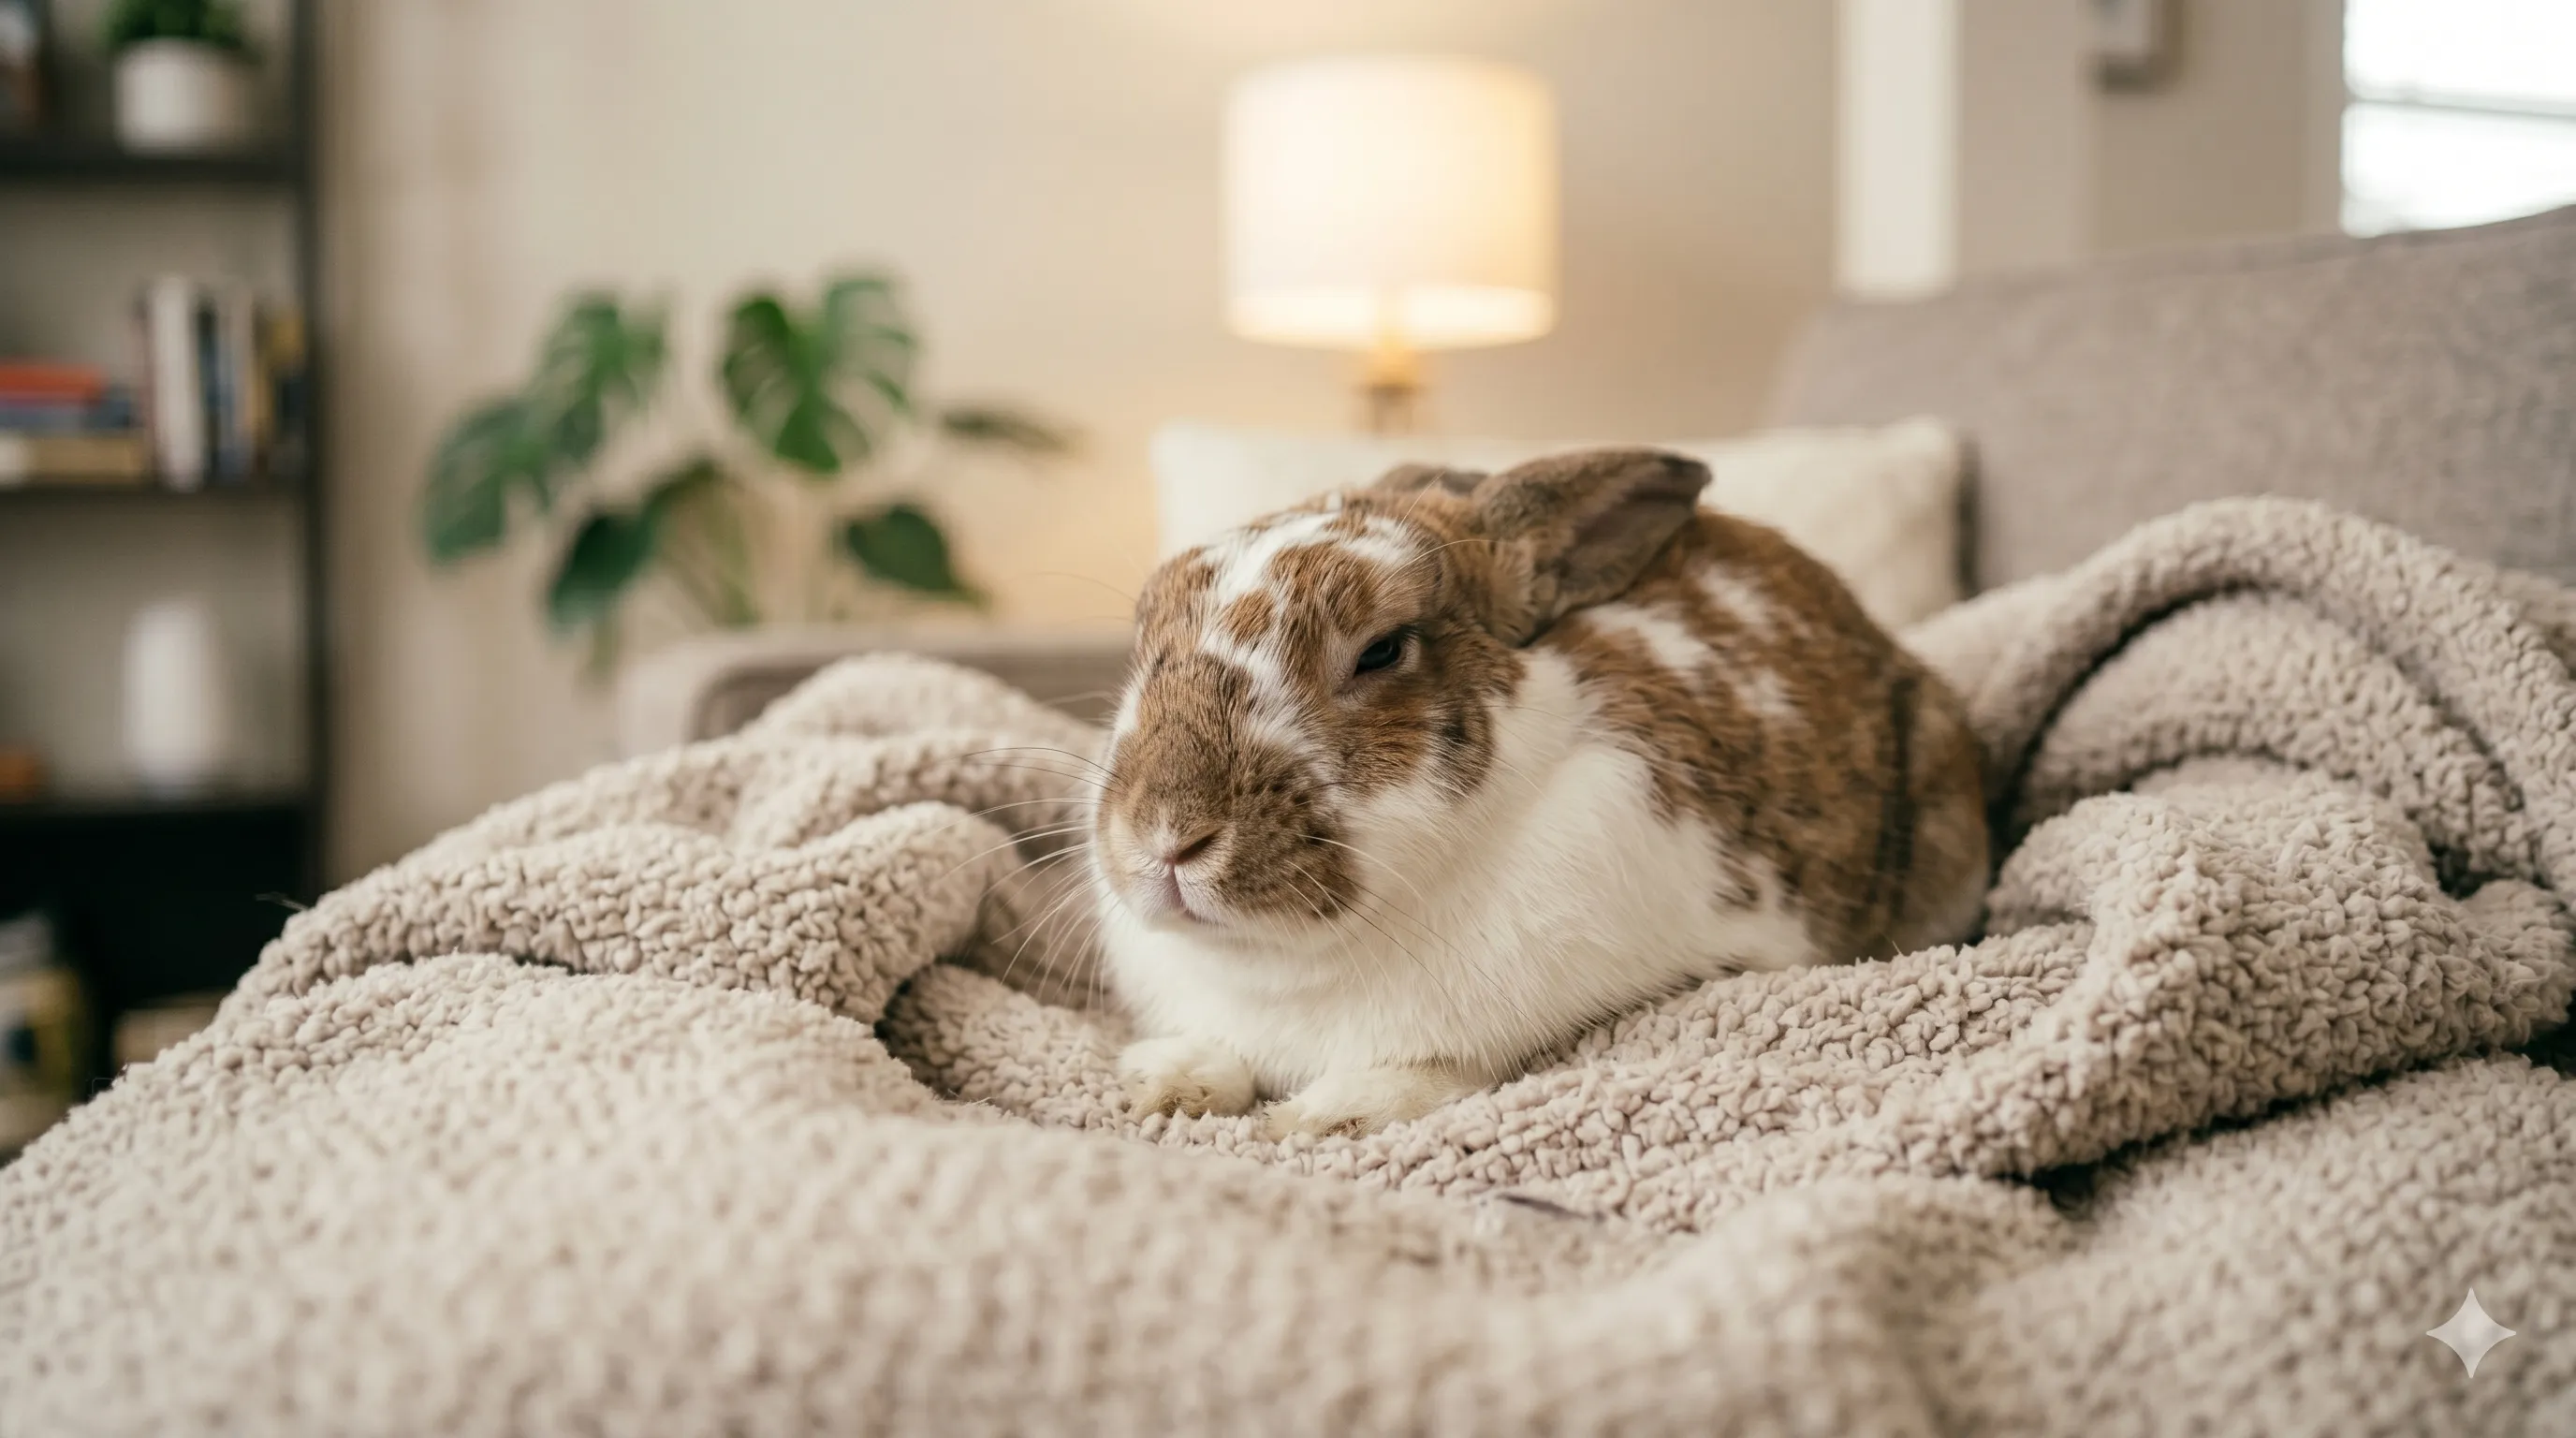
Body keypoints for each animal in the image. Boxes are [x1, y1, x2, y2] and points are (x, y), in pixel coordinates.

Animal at [1089, 447, 1988, 1139]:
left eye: (1382, 650)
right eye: (1145, 638)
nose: (1165, 837)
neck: (1284, 968)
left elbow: (1442, 1068)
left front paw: (1322, 1117)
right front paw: (1168, 1083)